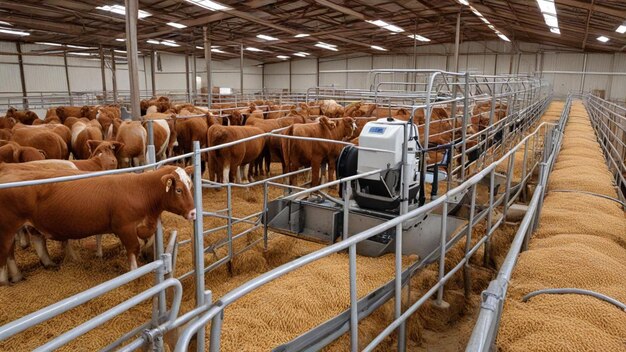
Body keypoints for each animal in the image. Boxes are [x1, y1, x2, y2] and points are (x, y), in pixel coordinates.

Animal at [0, 164, 194, 284]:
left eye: (191, 185)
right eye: (178, 190)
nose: (193, 212)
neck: (140, 191)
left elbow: (149, 239)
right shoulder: (125, 228)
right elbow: (133, 249)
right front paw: (135, 275)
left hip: (29, 225)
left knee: (35, 241)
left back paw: (45, 265)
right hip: (7, 228)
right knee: (6, 252)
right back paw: (8, 279)